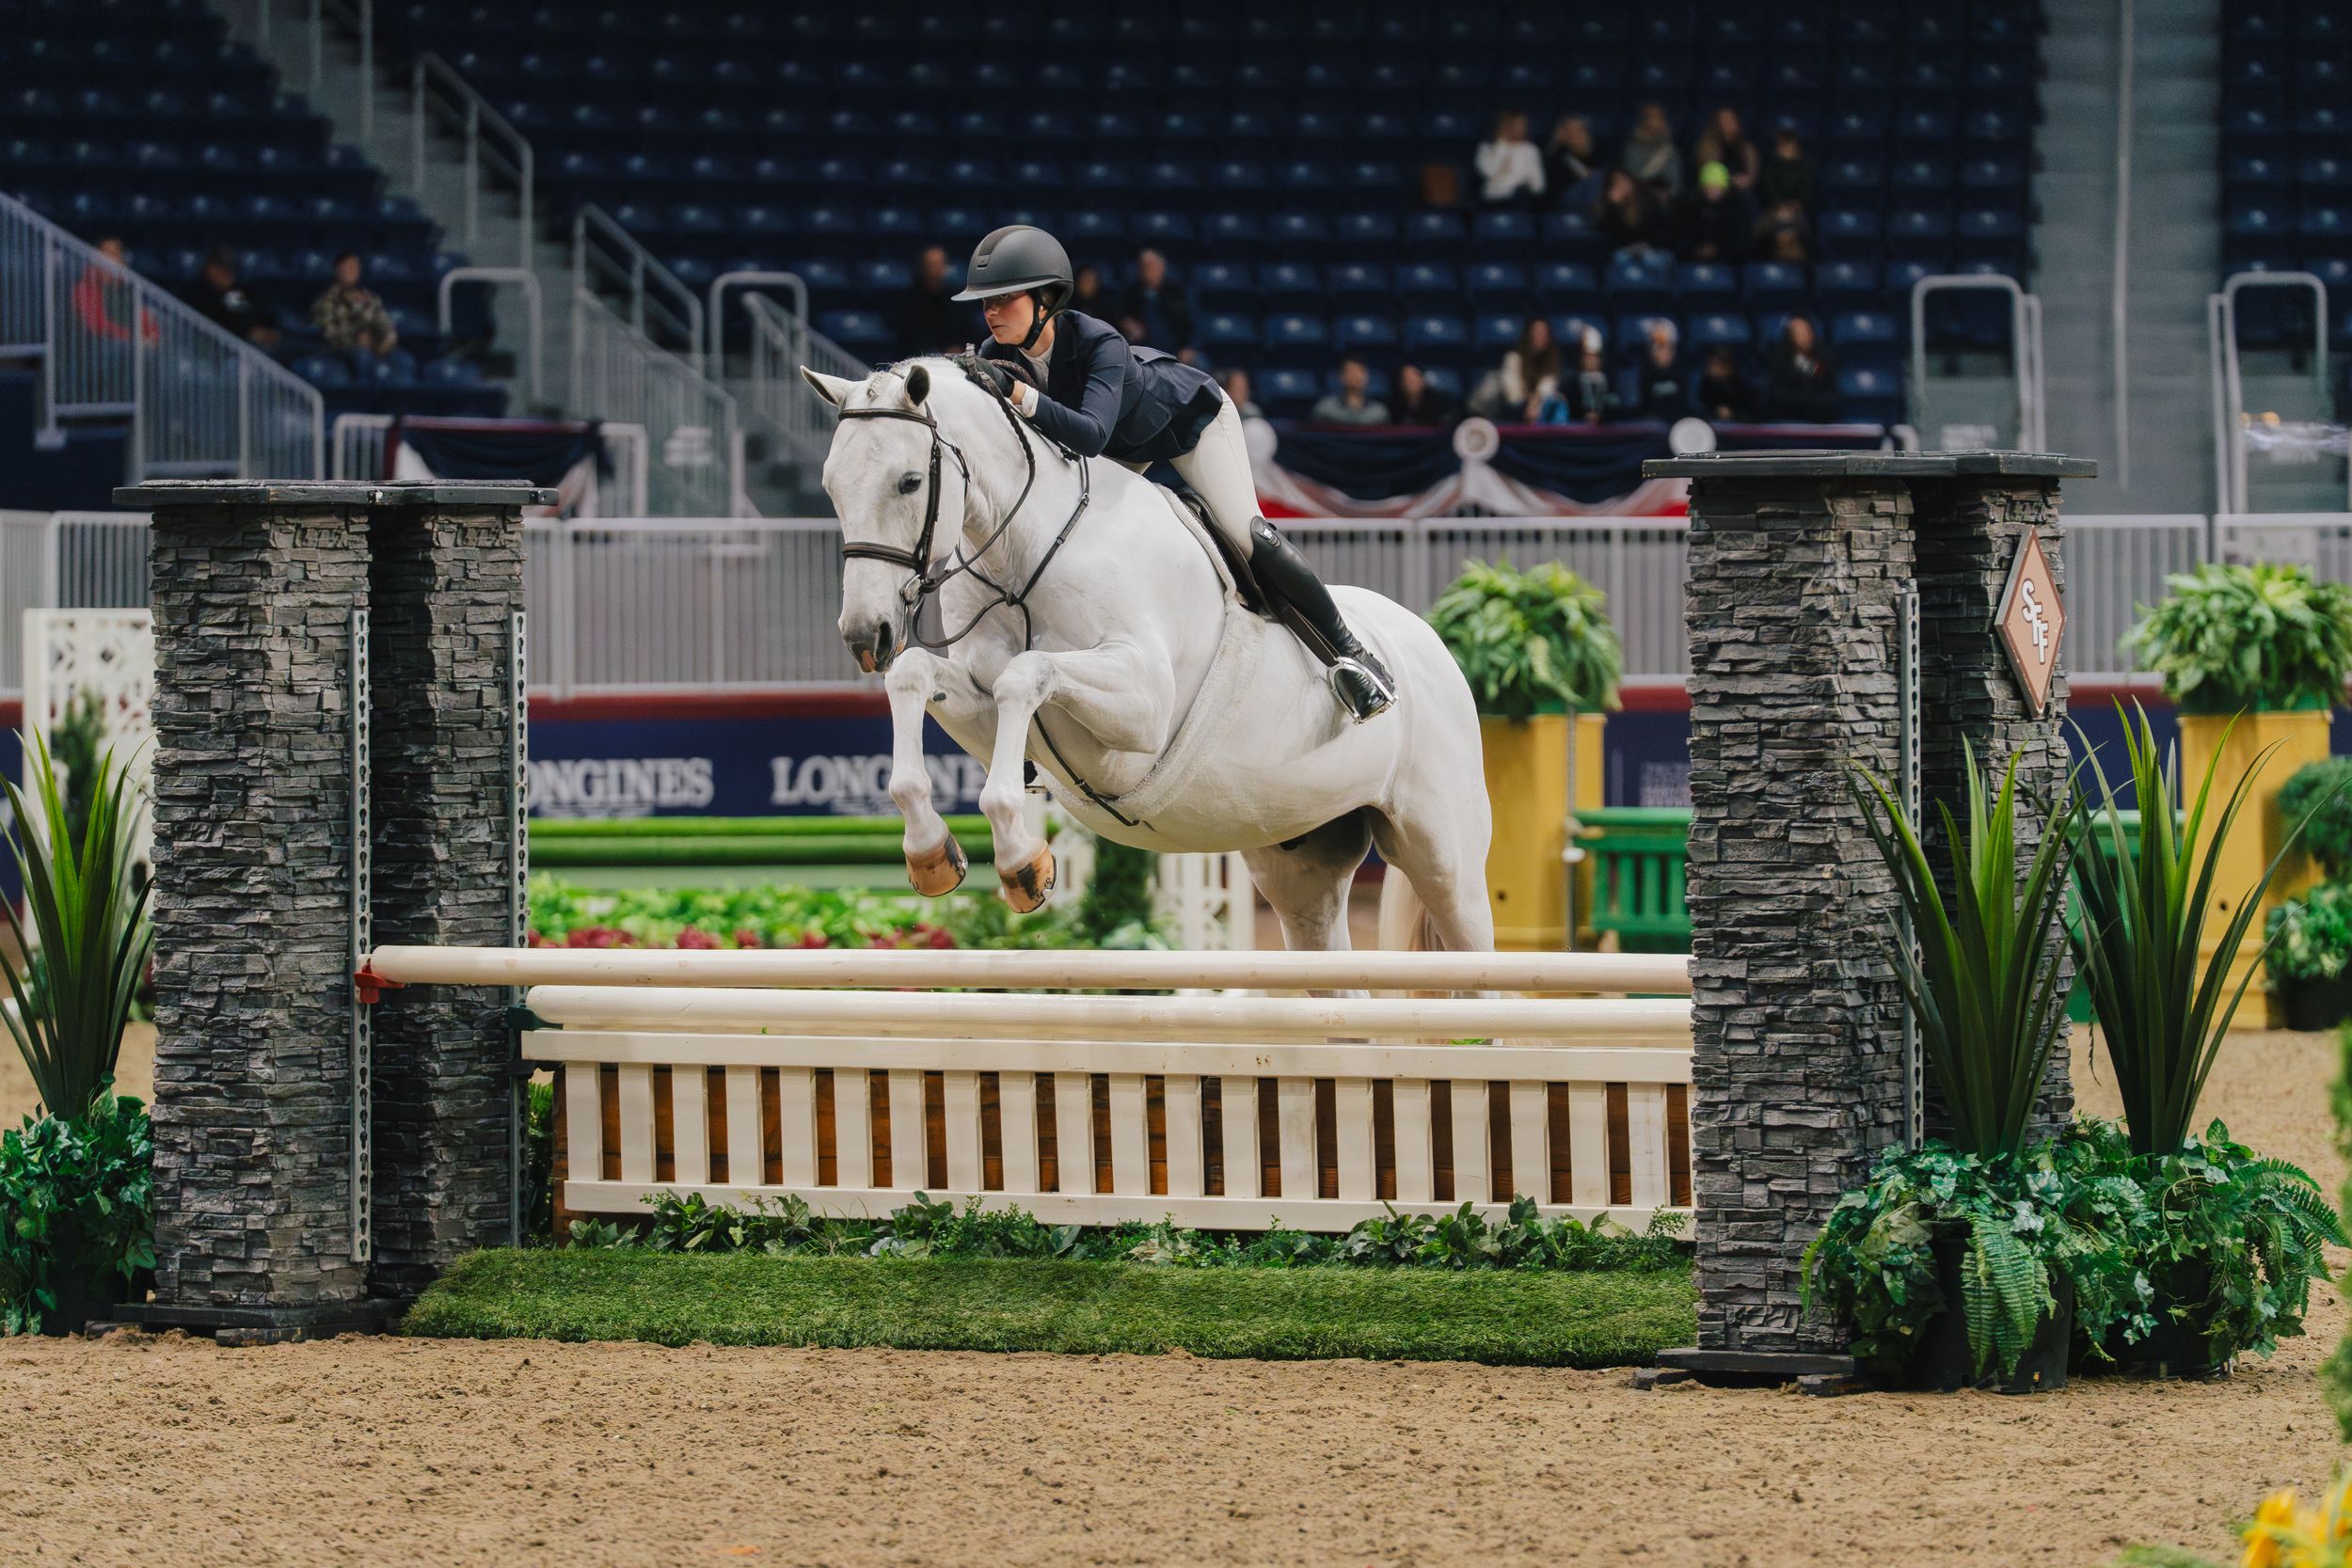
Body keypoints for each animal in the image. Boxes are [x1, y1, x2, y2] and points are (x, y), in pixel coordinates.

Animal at [799, 357, 1494, 954]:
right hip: (1298, 858)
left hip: (1445, 857)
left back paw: (1363, 674)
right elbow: (917, 676)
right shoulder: (974, 690)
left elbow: (1026, 677)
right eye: (830, 486)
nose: (865, 635)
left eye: (910, 481)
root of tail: (1431, 638)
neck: (1025, 552)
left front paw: (1024, 863)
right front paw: (930, 851)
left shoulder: (1143, 710)